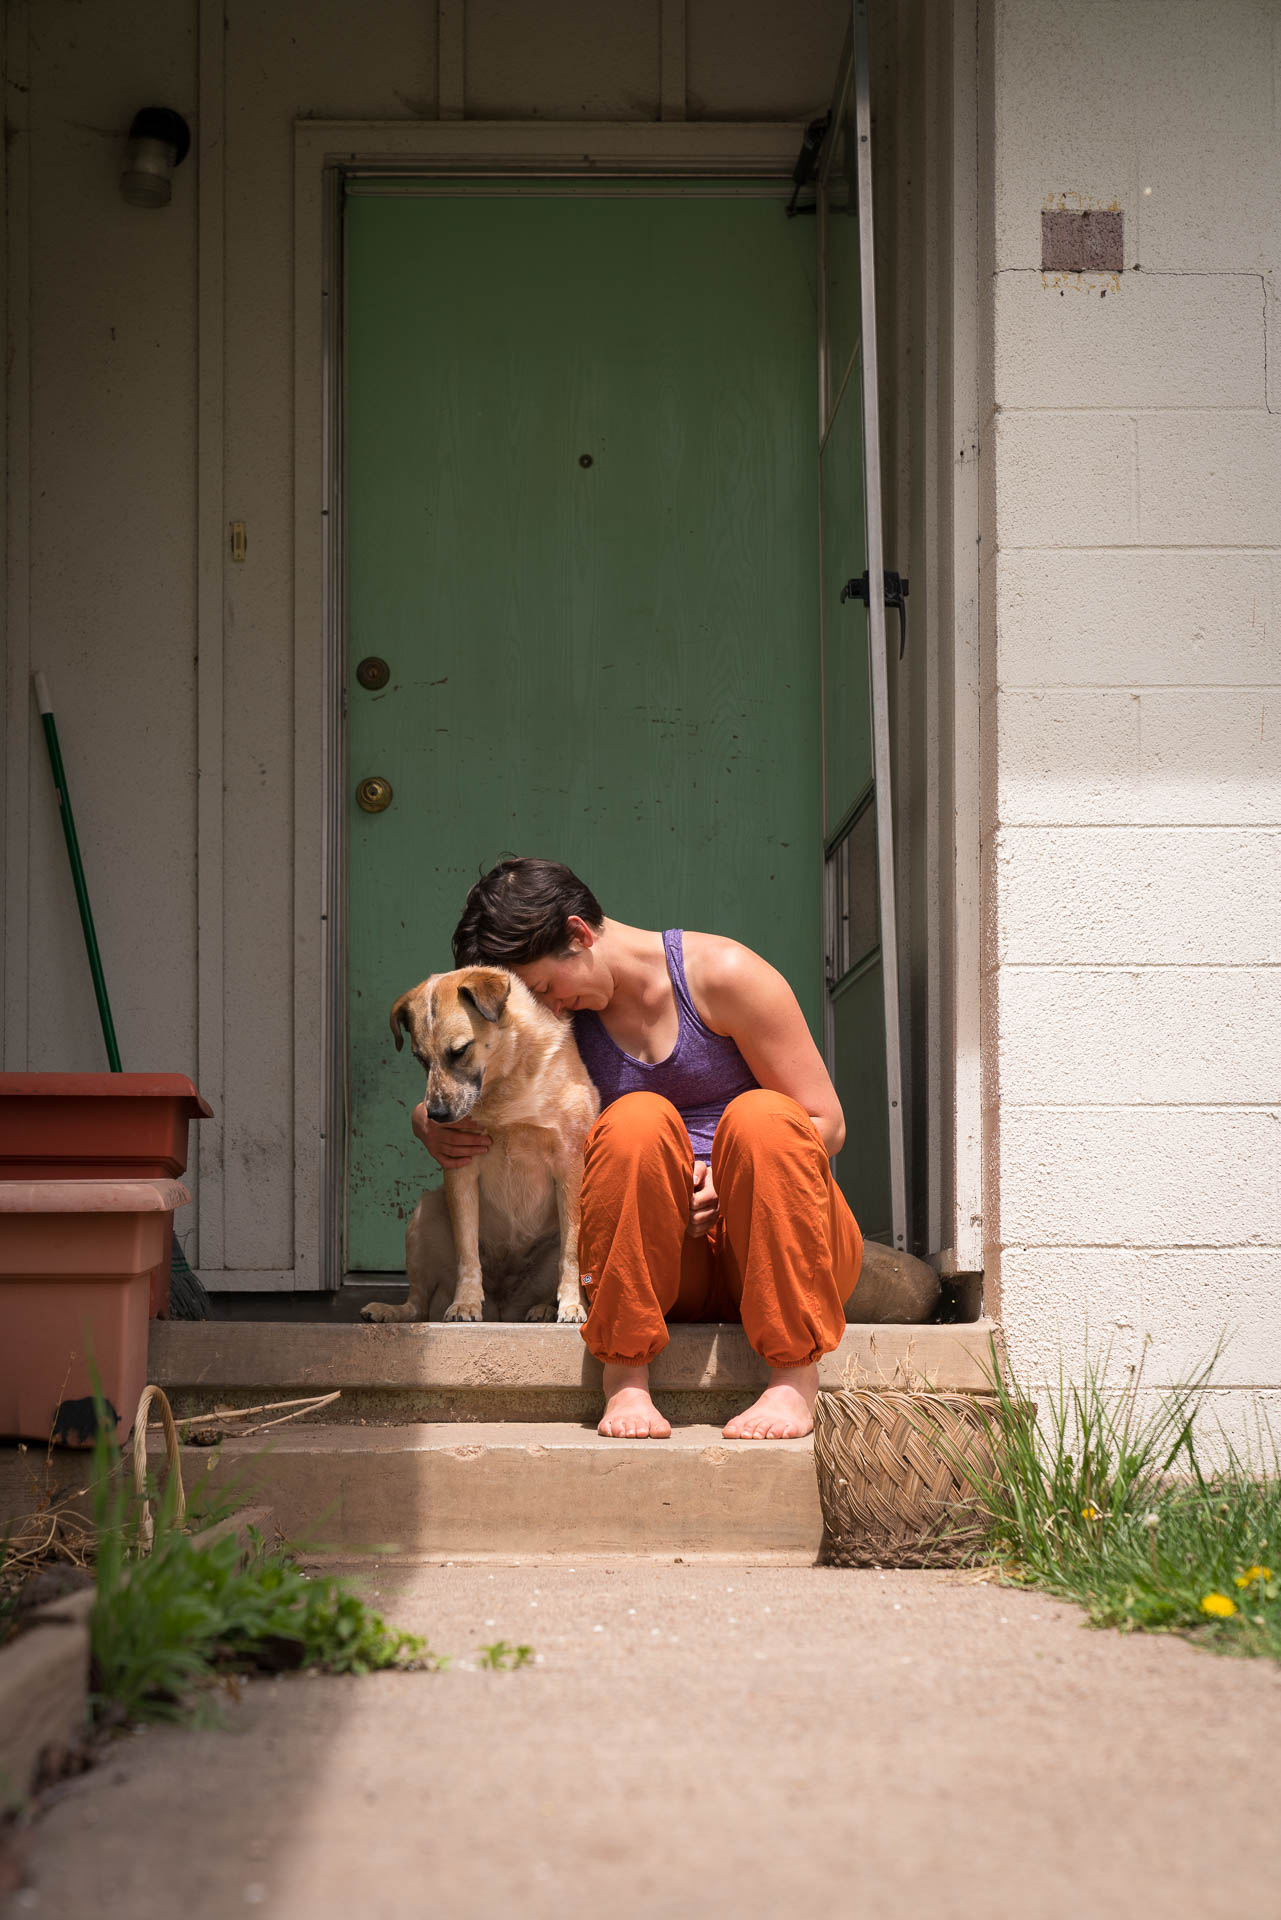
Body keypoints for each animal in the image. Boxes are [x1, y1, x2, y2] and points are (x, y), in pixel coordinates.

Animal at [361, 967, 603, 1328]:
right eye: (420, 1059)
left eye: (460, 1051)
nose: (435, 1116)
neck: (503, 1088)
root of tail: (503, 1308)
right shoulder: (461, 1169)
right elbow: (467, 1250)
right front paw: (465, 1304)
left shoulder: (570, 1166)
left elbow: (571, 1255)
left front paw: (573, 1306)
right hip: (424, 1213)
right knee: (418, 1304)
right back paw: (389, 1310)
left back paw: (545, 1309)